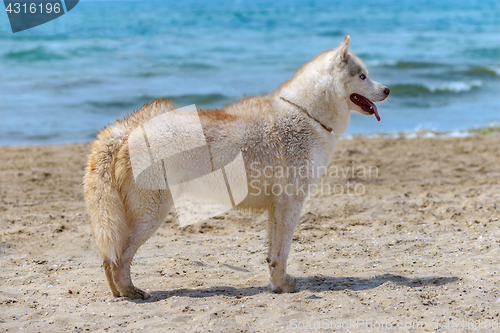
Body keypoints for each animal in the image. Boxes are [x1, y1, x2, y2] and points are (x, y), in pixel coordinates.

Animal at [83, 36, 390, 298]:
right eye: (362, 76)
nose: (387, 90)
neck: (306, 113)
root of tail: (127, 131)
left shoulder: (277, 207)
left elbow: (274, 254)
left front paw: (277, 285)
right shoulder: (291, 203)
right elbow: (283, 252)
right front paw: (283, 286)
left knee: (108, 257)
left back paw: (118, 292)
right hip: (151, 214)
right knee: (119, 257)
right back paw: (130, 292)